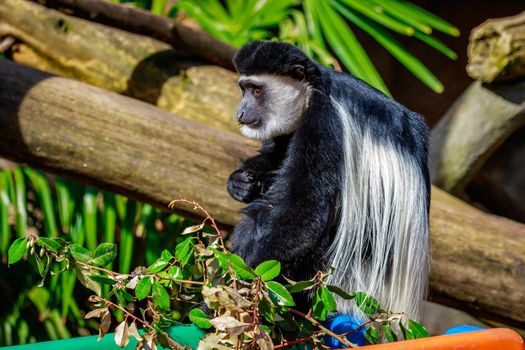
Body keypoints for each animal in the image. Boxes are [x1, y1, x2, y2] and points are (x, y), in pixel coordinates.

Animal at [227, 41, 428, 320]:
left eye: (256, 90)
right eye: (243, 89)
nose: (240, 111)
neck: (313, 91)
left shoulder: (325, 122)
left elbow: (304, 211)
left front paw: (249, 276)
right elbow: (277, 155)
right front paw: (241, 182)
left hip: (334, 278)